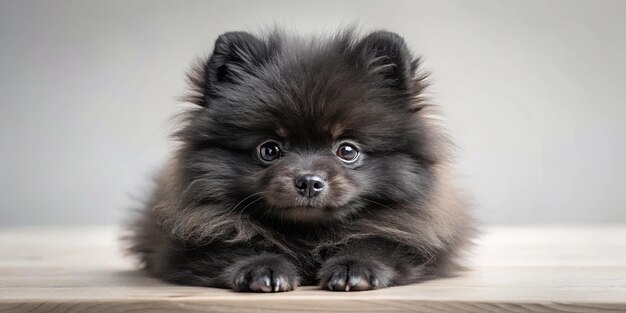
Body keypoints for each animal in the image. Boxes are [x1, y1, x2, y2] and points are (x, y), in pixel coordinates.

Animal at [125, 28, 472, 292]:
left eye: (347, 151)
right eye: (269, 150)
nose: (308, 181)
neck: (308, 235)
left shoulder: (415, 236)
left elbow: (380, 242)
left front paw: (354, 267)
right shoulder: (191, 241)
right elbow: (234, 242)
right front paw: (263, 268)